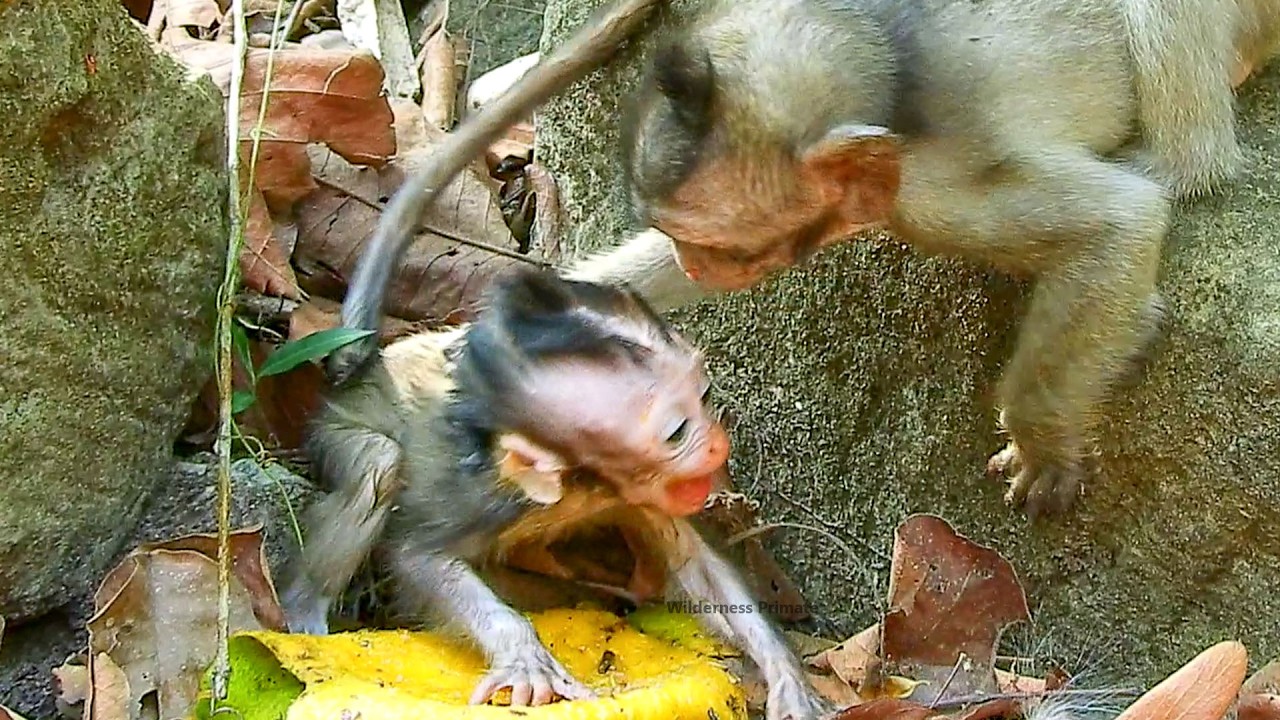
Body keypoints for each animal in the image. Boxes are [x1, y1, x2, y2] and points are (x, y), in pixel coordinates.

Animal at [280, 268, 830, 720]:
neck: (578, 483)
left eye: (705, 395)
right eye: (677, 433)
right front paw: (527, 658)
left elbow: (692, 562)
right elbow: (416, 556)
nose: (718, 446)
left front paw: (787, 675)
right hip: (333, 427)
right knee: (379, 462)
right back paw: (303, 614)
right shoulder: (484, 497)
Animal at [551, 0, 1280, 520]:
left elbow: (1121, 221)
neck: (892, 82)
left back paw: (1180, 164)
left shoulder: (932, 193)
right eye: (678, 241)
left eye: (727, 248)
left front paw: (1041, 437)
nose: (700, 267)